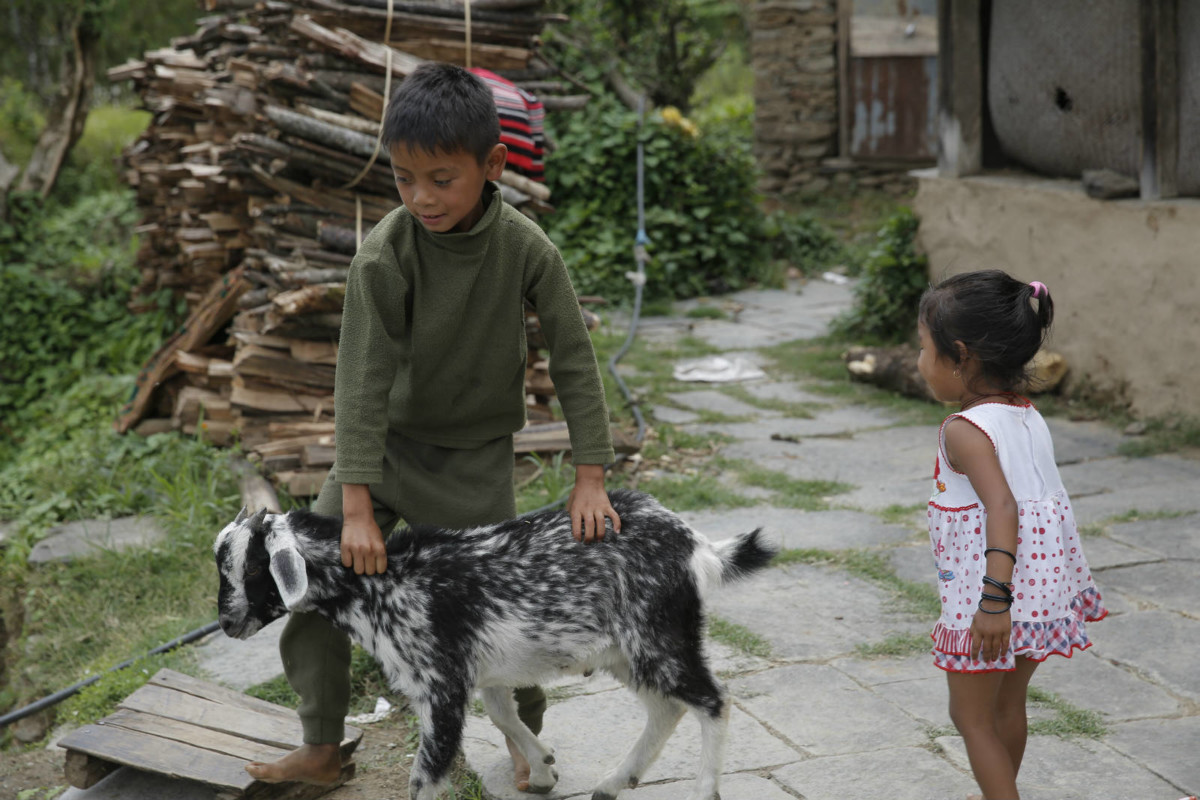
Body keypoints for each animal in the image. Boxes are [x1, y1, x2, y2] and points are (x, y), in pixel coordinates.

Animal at [213, 489, 777, 800]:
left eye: (251, 568)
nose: (226, 621)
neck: (385, 580)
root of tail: (696, 546)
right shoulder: (481, 670)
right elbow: (504, 713)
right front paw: (544, 768)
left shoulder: (439, 686)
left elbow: (425, 776)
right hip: (627, 650)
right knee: (667, 708)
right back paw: (613, 783)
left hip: (658, 637)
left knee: (714, 701)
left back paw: (704, 791)